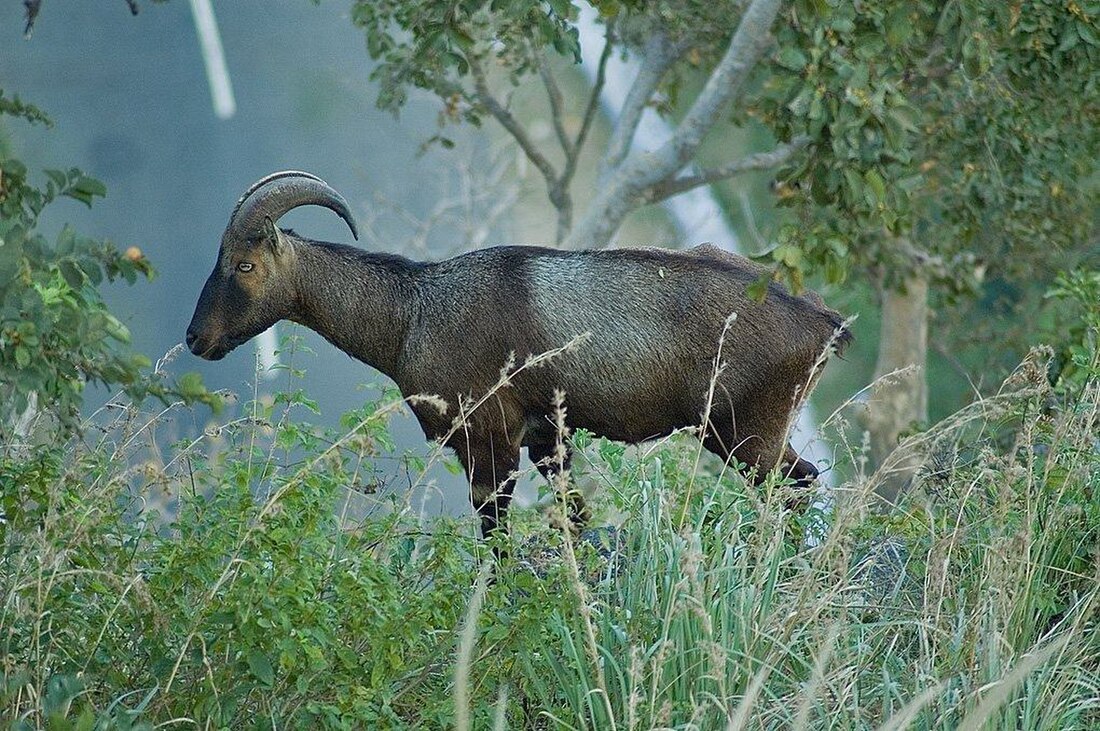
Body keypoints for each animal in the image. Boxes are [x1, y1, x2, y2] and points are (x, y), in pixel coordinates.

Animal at [187, 169, 849, 536]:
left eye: (244, 265)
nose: (196, 339)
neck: (415, 312)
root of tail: (825, 320)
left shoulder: (488, 441)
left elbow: (495, 538)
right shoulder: (546, 440)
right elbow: (574, 519)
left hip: (745, 436)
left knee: (798, 488)